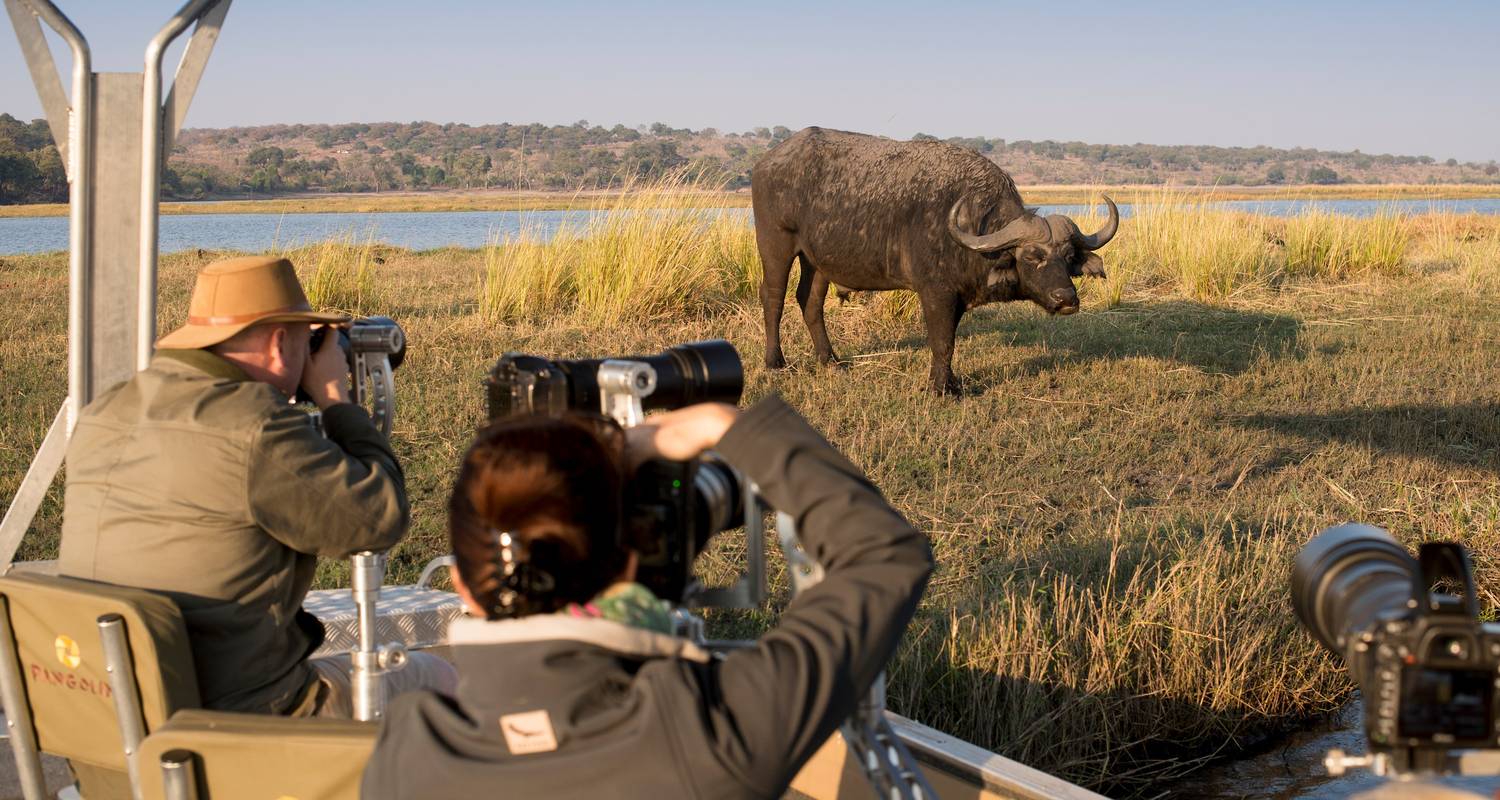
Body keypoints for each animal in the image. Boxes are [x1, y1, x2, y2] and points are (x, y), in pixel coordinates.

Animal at [756, 125, 1122, 396]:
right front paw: (941, 389)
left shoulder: (956, 296)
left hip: (818, 260)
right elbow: (942, 341)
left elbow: (950, 342)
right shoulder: (936, 293)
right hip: (776, 244)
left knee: (810, 301)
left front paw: (949, 383)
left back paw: (830, 360)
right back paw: (776, 361)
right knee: (773, 297)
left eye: (1068, 256)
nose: (1067, 299)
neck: (971, 226)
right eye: (1032, 256)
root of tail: (766, 161)